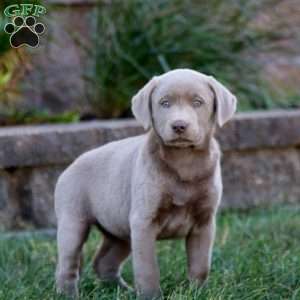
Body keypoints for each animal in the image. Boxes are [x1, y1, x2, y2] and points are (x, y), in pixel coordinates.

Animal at [54, 69, 237, 298]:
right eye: (164, 103)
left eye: (198, 102)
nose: (179, 125)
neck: (184, 160)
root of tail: (71, 164)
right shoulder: (143, 221)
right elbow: (148, 268)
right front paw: (151, 296)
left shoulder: (204, 222)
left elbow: (200, 264)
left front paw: (198, 292)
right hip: (73, 220)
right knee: (67, 265)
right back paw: (69, 294)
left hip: (119, 229)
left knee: (104, 262)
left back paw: (121, 290)